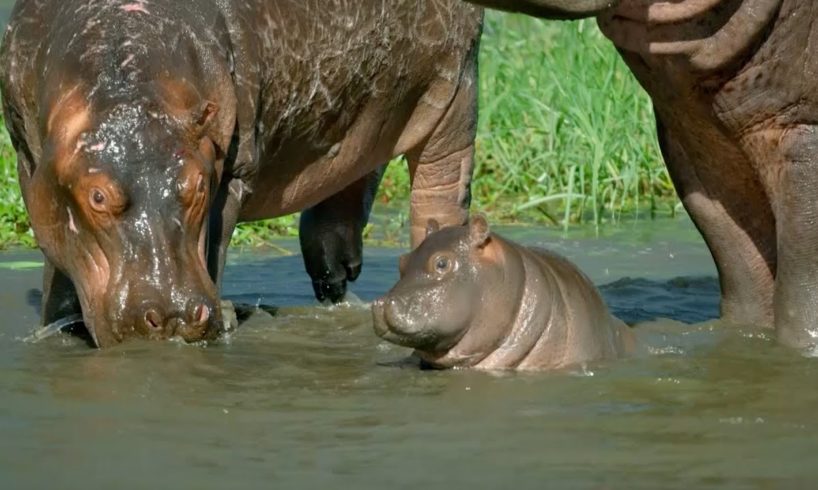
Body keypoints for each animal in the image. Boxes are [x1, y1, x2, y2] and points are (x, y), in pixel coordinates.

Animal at [0, 0, 482, 346]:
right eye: (97, 197)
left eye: (197, 185)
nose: (173, 313)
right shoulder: (30, 160)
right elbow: (57, 260)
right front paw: (60, 321)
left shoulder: (232, 168)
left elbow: (214, 244)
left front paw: (226, 321)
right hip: (368, 110)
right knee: (348, 185)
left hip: (455, 92)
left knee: (441, 191)